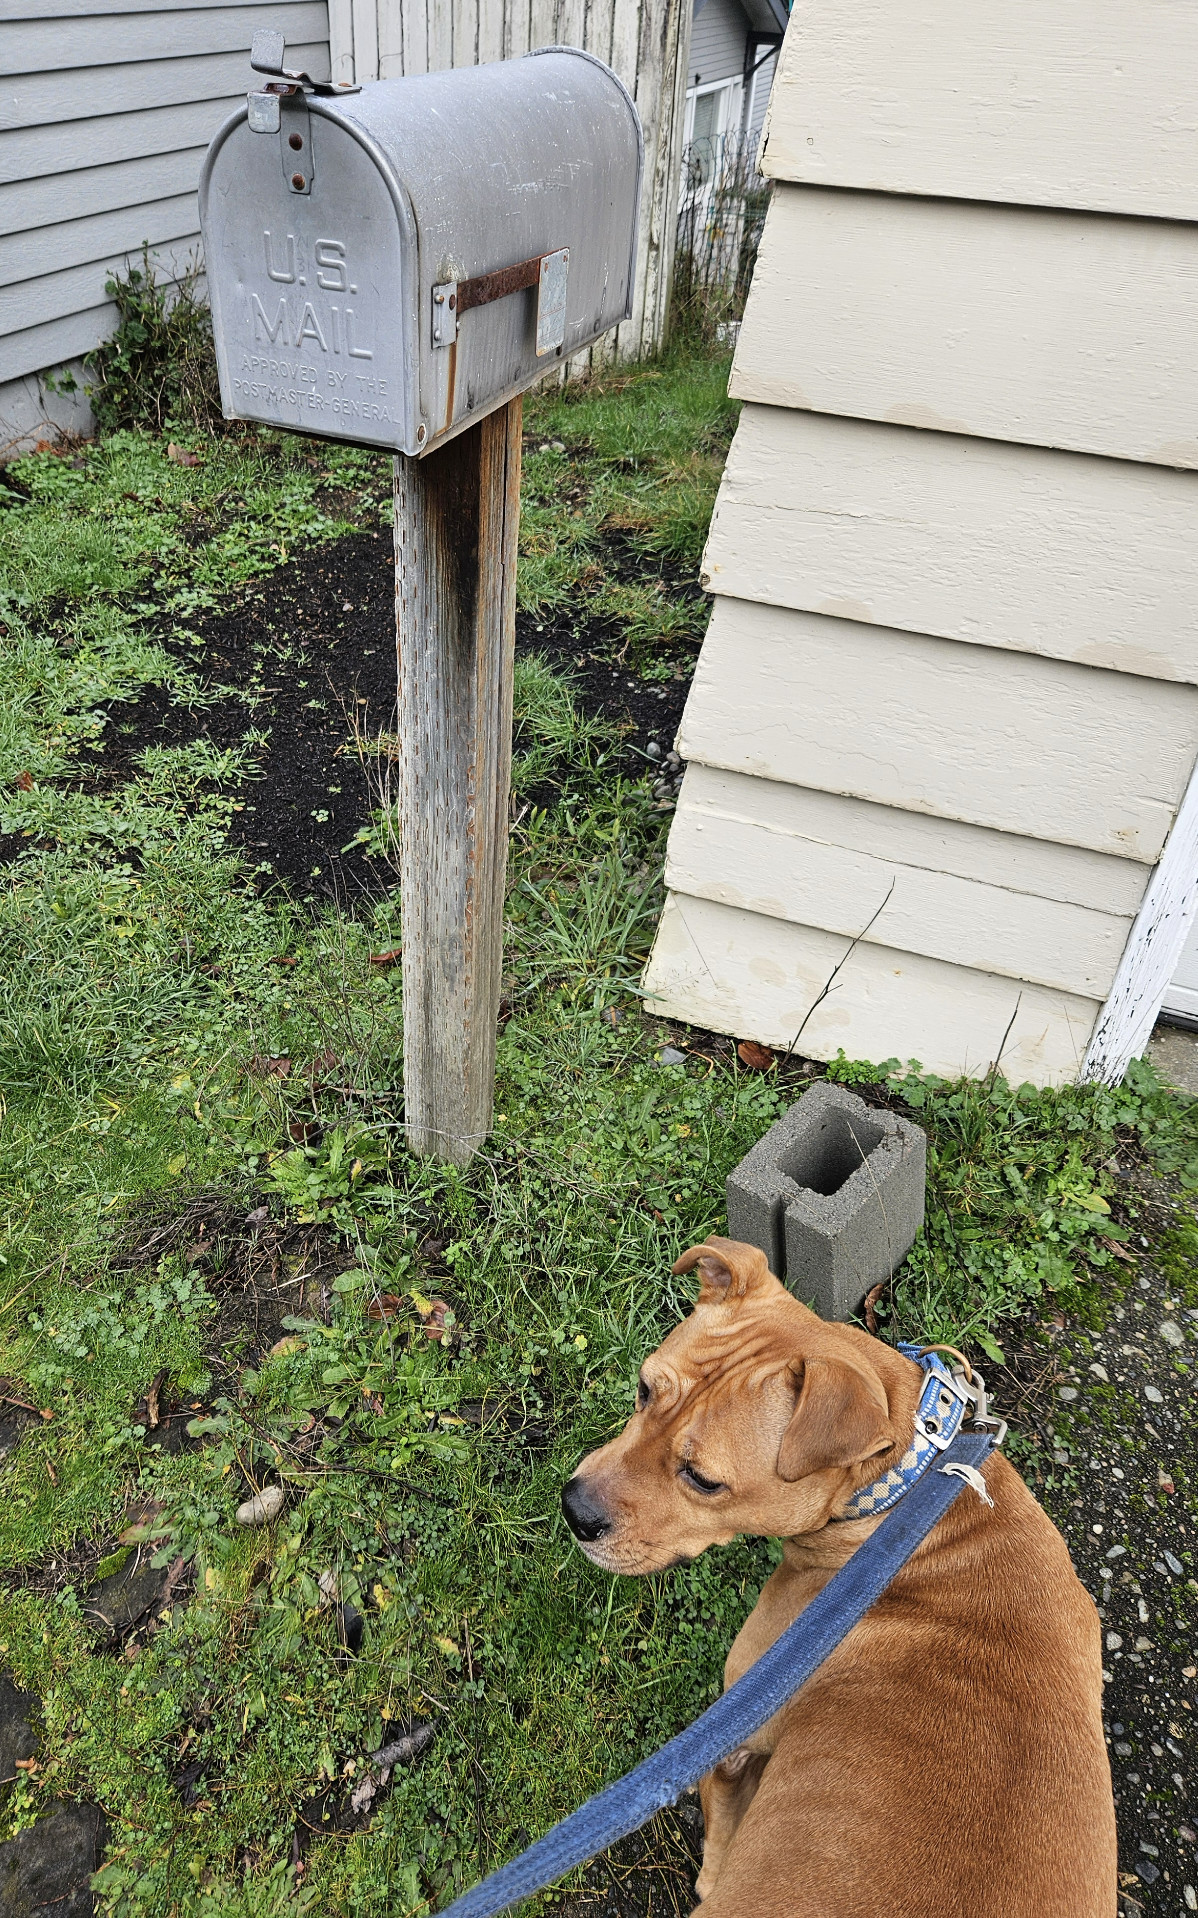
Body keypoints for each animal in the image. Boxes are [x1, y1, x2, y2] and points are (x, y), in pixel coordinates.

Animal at [559, 1235, 1111, 1910]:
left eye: (705, 1481)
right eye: (643, 1389)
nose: (575, 1510)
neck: (903, 1491)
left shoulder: (737, 1737)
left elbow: (717, 1841)